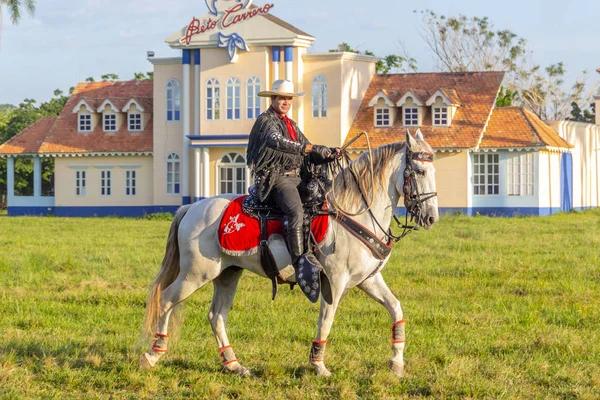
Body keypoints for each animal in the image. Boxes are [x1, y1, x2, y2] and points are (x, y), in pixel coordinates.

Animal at [141, 130, 440, 376]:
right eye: (419, 171)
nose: (431, 218)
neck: (354, 212)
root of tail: (190, 208)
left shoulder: (368, 279)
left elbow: (395, 308)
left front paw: (397, 362)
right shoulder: (334, 282)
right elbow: (326, 321)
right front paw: (319, 365)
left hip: (227, 274)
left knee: (216, 316)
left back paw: (234, 364)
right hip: (195, 275)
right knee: (166, 300)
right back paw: (153, 354)